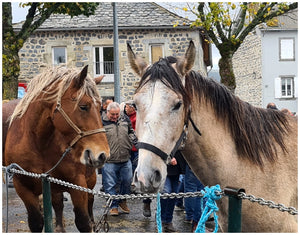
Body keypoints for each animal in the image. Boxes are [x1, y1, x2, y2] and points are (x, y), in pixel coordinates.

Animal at [3, 65, 110, 232]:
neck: (38, 143)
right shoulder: (22, 186)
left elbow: (83, 222)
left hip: (89, 178)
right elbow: (36, 222)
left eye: (101, 107)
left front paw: (89, 224)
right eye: (83, 106)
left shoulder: (78, 183)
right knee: (58, 203)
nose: (103, 154)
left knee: (90, 200)